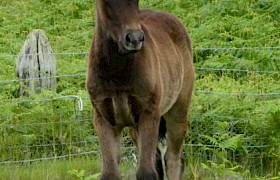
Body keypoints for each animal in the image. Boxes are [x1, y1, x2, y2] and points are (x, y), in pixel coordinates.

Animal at [86, 0, 194, 179]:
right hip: (134, 127)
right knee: (158, 158)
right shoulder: (103, 118)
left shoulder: (149, 113)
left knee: (173, 158)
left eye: (136, 2)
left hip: (178, 109)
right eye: (106, 3)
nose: (134, 38)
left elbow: (146, 172)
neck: (117, 74)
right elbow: (110, 172)